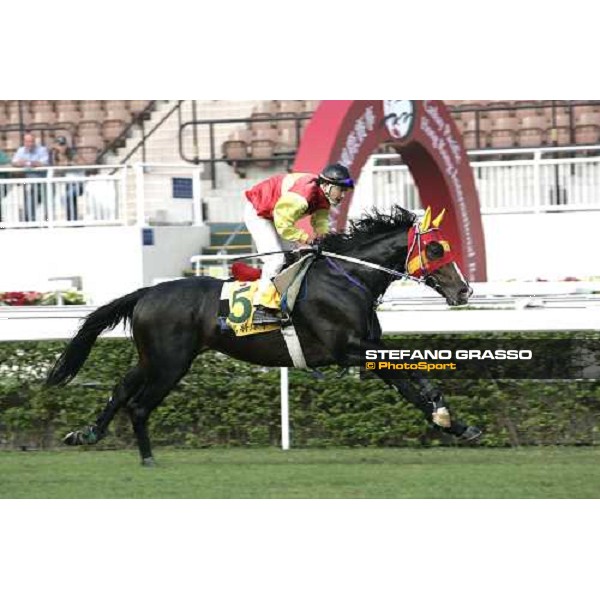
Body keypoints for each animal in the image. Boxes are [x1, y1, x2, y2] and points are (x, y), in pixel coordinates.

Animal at [44, 206, 480, 464]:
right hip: (170, 363)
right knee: (138, 404)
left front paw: (456, 423)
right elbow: (407, 372)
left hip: (154, 357)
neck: (347, 279)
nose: (465, 291)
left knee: (120, 388)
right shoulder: (349, 349)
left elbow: (409, 382)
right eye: (437, 249)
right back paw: (148, 458)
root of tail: (146, 292)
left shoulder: (364, 349)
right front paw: (445, 416)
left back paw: (86, 433)